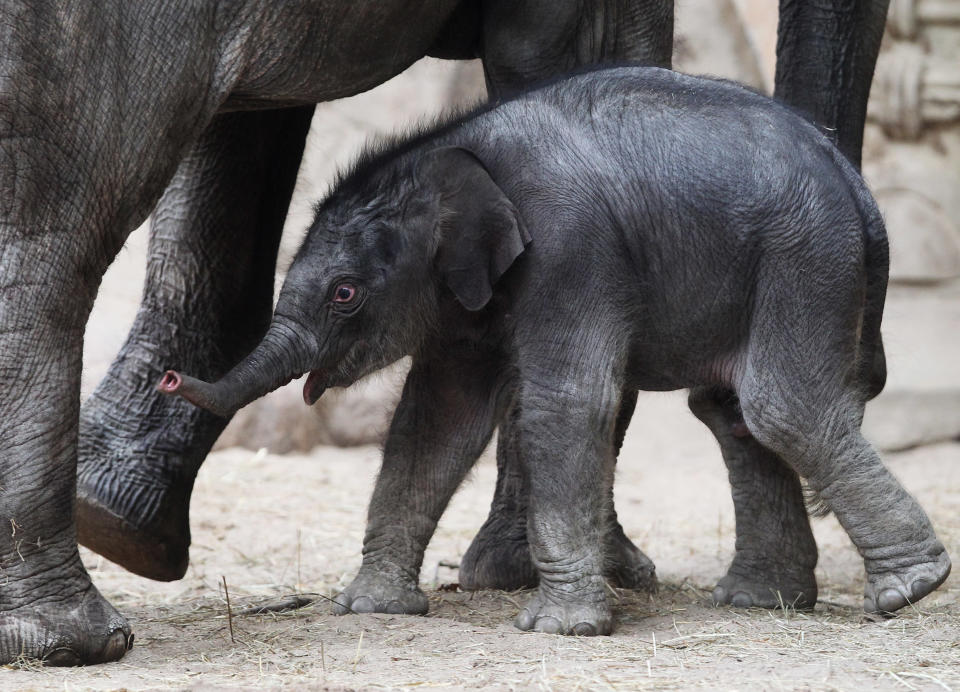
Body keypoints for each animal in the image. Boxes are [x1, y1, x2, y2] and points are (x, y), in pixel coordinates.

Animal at [161, 67, 948, 636]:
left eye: (345, 294)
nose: (171, 378)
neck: (453, 152)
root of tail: (854, 180)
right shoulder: (466, 298)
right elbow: (436, 421)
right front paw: (370, 609)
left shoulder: (571, 249)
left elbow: (565, 403)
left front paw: (557, 628)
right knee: (732, 412)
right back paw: (761, 602)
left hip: (804, 254)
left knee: (781, 407)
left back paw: (908, 591)